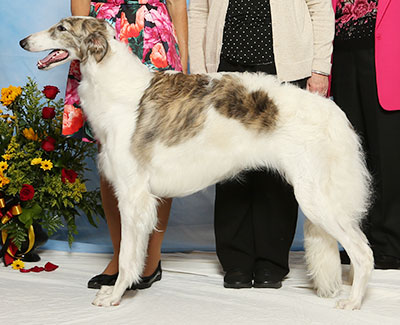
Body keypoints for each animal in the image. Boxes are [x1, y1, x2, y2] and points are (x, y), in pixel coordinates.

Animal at [20, 17, 374, 308]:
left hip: (317, 199)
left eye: (61, 28)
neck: (115, 85)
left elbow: (126, 256)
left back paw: (354, 302)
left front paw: (115, 295)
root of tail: (332, 110)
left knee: (363, 252)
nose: (23, 42)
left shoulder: (133, 195)